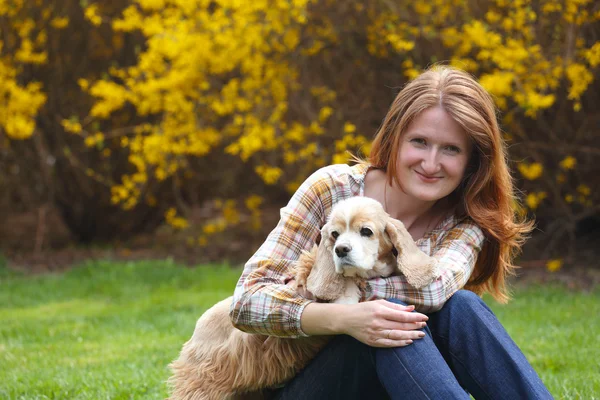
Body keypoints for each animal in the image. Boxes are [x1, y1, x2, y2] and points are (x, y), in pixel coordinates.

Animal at [166, 197, 438, 400]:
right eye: (335, 235)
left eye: (366, 231)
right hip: (203, 382)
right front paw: (346, 297)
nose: (341, 250)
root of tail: (196, 330)